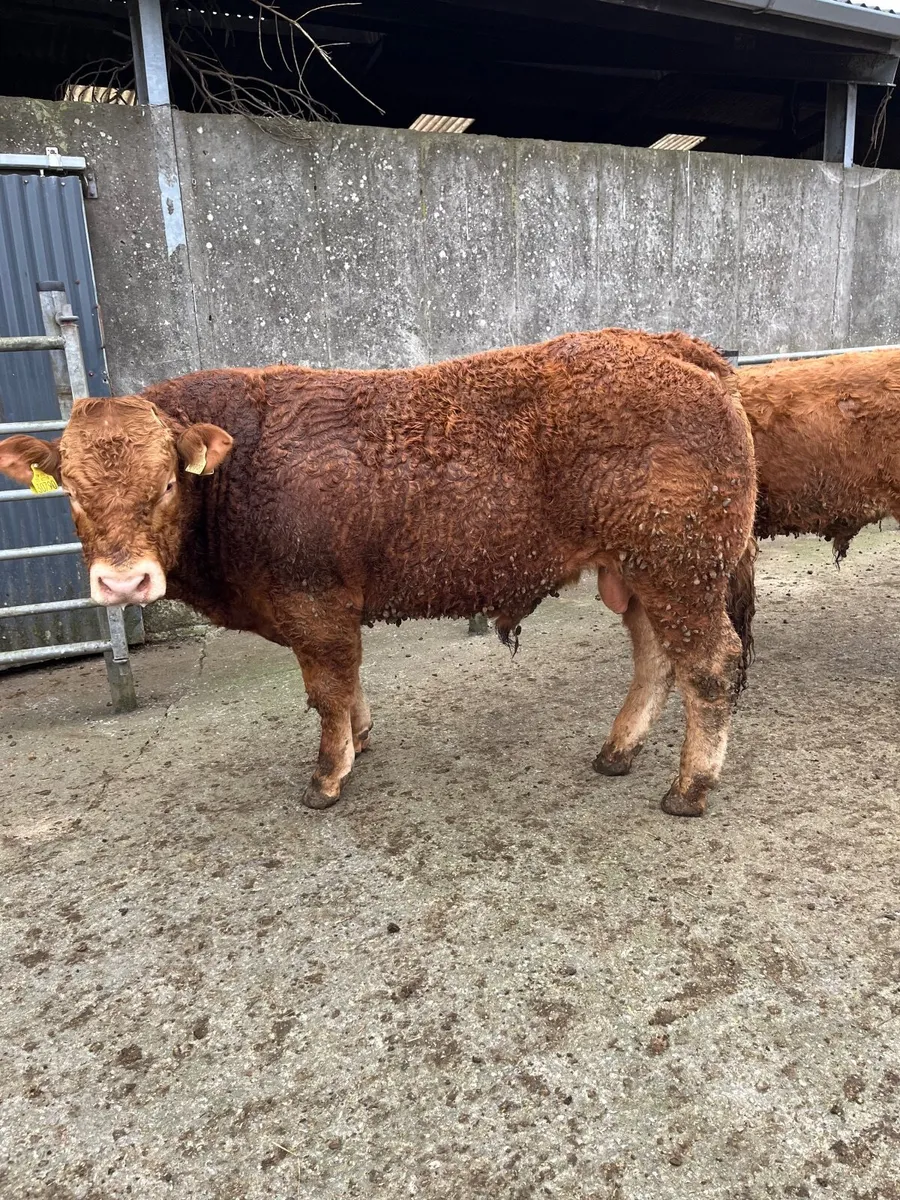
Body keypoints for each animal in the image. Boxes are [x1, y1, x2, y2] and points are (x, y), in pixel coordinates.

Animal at [0, 330, 757, 818]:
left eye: (163, 484)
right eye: (70, 491)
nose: (123, 584)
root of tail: (668, 345)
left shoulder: (311, 602)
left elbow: (327, 690)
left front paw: (327, 776)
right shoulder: (330, 607)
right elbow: (348, 682)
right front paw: (359, 742)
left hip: (681, 566)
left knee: (710, 664)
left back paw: (689, 789)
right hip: (638, 571)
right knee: (656, 659)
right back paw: (618, 750)